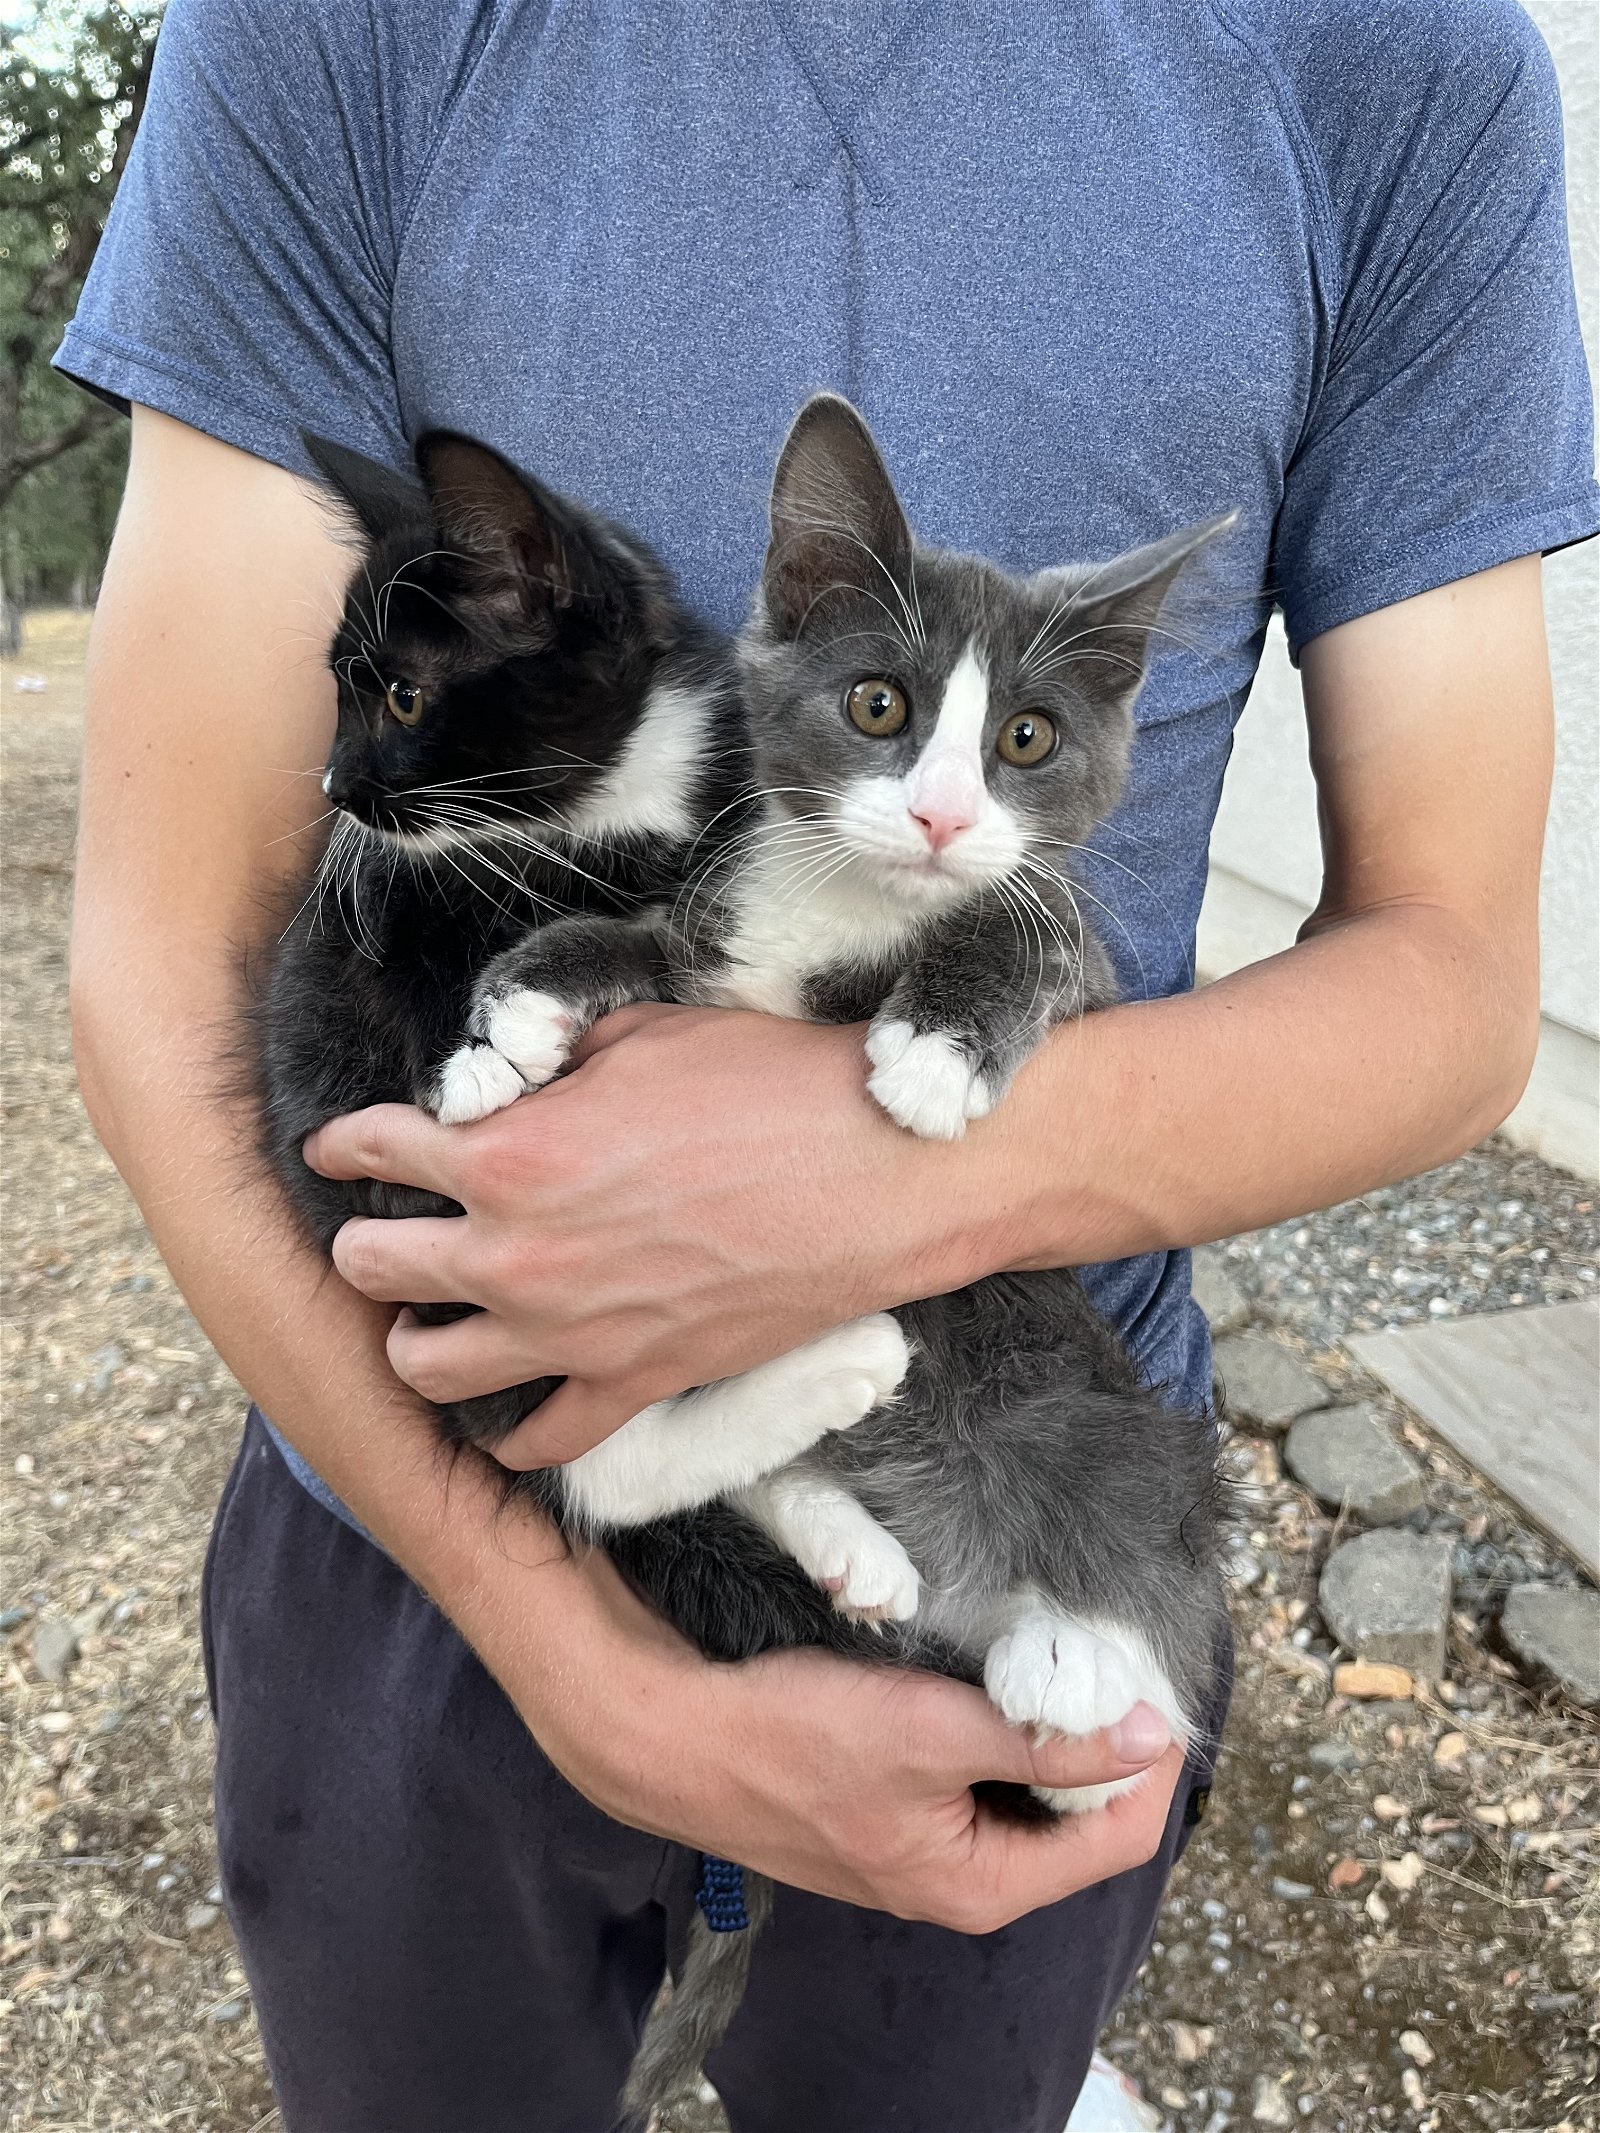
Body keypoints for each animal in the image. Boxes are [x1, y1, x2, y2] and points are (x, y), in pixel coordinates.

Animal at [433, 396, 1237, 2115]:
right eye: (880, 705)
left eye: (1028, 741)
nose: (938, 816)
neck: (844, 912)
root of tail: (968, 1593)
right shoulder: (715, 954)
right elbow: (633, 943)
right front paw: (504, 1028)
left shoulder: (1084, 976)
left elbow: (1032, 927)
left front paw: (934, 1046)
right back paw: (854, 1539)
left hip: (1102, 1410)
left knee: (1129, 1625)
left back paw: (1074, 1669)